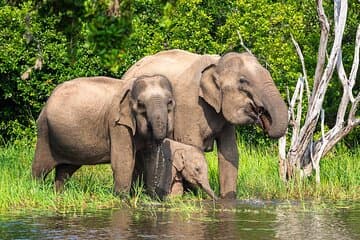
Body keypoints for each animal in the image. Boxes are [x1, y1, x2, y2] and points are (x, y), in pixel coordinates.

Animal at [31, 75, 175, 195]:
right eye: (140, 104)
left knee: (65, 170)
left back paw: (59, 194)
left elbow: (150, 159)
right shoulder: (116, 124)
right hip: (44, 131)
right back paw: (36, 190)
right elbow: (123, 161)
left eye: (170, 102)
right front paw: (122, 199)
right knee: (40, 168)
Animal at [122, 49, 288, 199]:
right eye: (243, 81)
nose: (261, 114)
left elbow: (229, 153)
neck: (217, 64)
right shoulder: (189, 106)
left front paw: (228, 199)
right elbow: (191, 145)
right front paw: (194, 195)